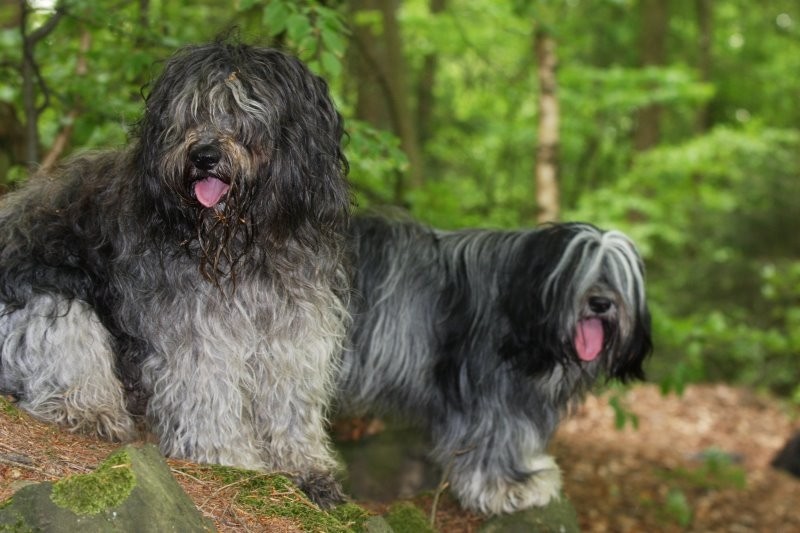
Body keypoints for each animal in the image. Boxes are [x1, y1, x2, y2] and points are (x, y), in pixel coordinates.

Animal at [0, 41, 350, 508]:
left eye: (243, 110)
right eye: (189, 113)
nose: (203, 156)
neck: (240, 244)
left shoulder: (292, 328)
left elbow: (288, 400)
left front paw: (305, 469)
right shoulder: (196, 330)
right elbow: (207, 390)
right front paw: (231, 461)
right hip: (47, 304)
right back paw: (93, 412)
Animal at [338, 214, 648, 512]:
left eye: (615, 277)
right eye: (577, 272)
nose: (601, 303)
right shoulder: (488, 395)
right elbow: (494, 437)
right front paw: (505, 487)